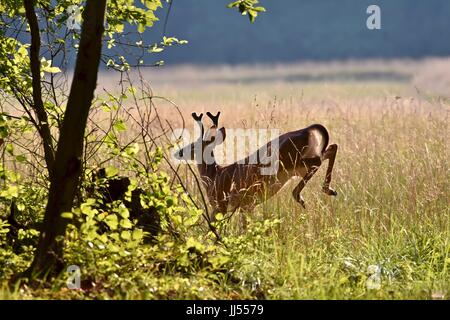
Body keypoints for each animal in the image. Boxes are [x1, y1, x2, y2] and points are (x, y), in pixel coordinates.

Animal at [175, 111, 338, 221]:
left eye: (193, 146)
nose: (179, 152)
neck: (214, 175)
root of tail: (309, 130)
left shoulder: (221, 204)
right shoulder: (247, 206)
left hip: (292, 161)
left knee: (318, 160)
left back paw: (302, 196)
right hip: (301, 162)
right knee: (331, 148)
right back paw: (329, 190)